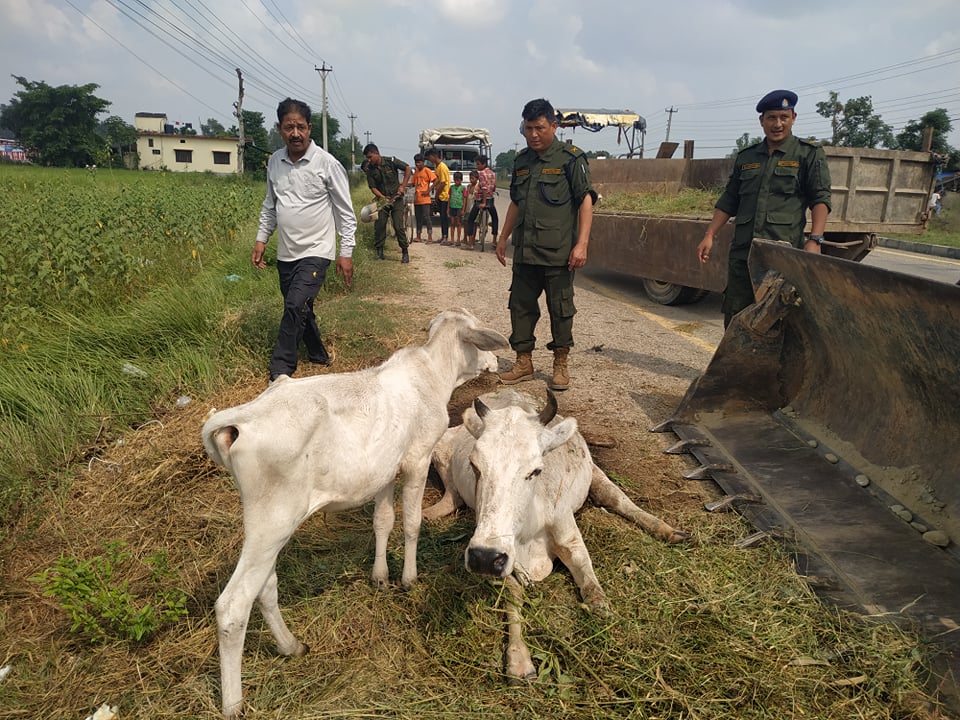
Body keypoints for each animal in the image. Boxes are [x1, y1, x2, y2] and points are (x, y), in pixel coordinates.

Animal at [202, 310, 510, 720]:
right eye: (479, 335)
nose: (499, 361)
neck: (431, 373)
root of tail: (242, 416)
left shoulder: (383, 469)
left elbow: (383, 520)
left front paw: (379, 576)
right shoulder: (417, 458)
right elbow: (410, 522)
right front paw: (408, 579)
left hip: (268, 526)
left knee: (264, 586)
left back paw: (291, 646)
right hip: (273, 519)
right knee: (233, 604)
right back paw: (233, 704)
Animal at [424, 388, 688, 680]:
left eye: (536, 470)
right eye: (475, 466)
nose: (484, 557)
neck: (529, 532)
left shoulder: (568, 536)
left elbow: (591, 586)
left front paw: (604, 612)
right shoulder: (499, 554)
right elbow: (513, 595)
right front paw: (519, 657)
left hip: (593, 470)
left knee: (614, 496)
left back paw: (665, 529)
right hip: (439, 448)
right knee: (453, 497)